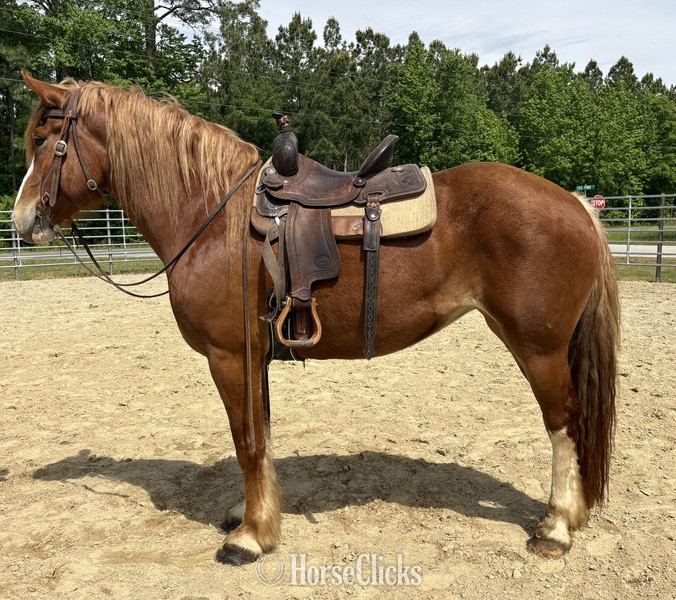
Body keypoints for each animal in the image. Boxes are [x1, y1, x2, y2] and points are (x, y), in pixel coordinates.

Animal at [12, 72, 620, 565]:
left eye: (42, 141)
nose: (22, 220)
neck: (211, 217)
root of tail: (573, 203)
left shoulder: (228, 356)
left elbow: (246, 439)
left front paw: (250, 538)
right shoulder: (253, 356)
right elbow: (260, 436)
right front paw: (252, 514)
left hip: (537, 348)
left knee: (564, 423)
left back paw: (556, 527)